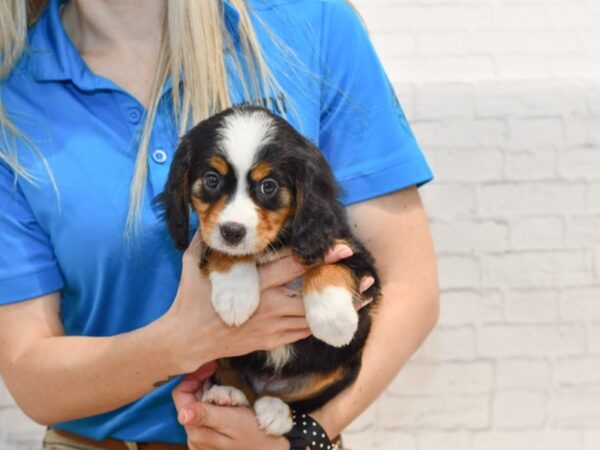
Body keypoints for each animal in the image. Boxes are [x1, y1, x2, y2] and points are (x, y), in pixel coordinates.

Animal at [162, 105, 380, 436]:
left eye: (268, 186)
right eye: (211, 180)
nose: (233, 232)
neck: (272, 246)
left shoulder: (354, 254)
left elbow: (329, 264)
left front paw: (332, 319)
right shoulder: (207, 236)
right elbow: (224, 253)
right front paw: (236, 296)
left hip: (345, 365)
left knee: (297, 399)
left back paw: (276, 410)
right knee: (236, 381)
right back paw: (227, 395)